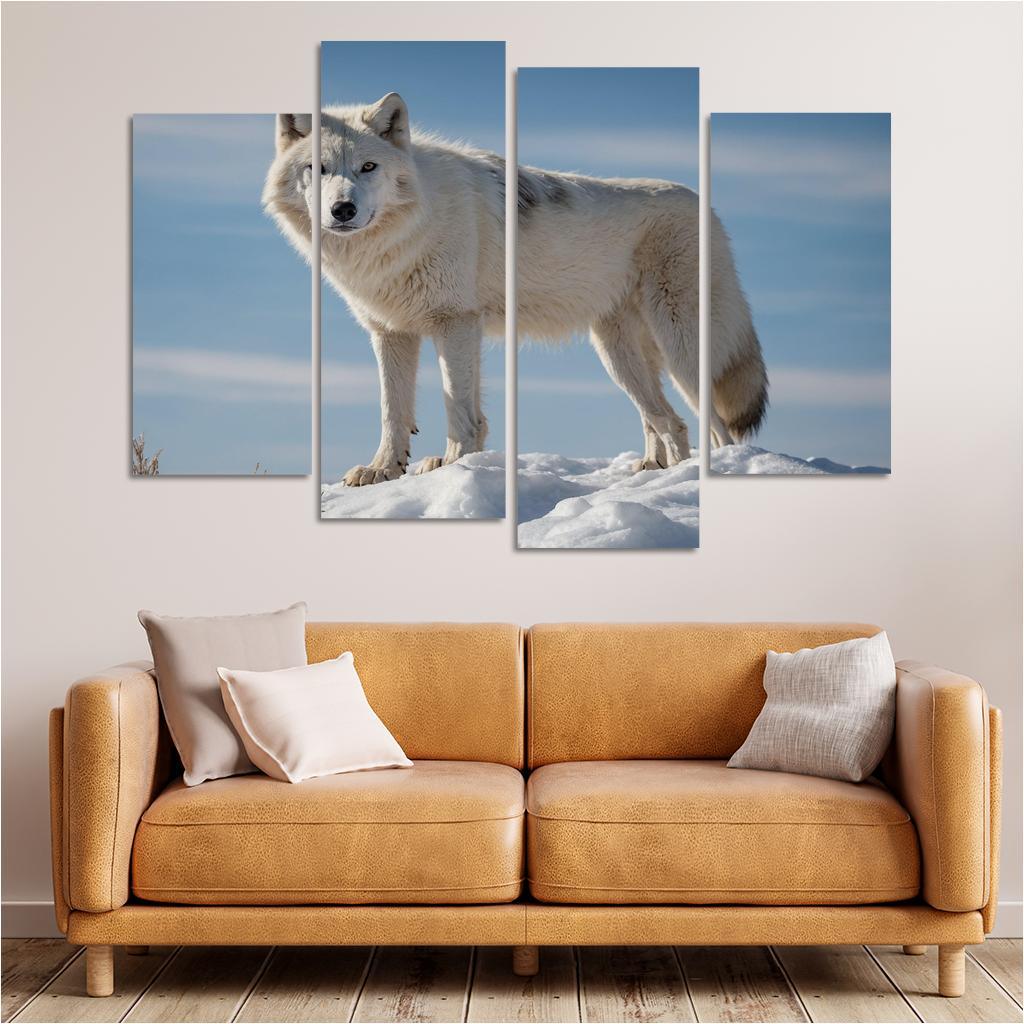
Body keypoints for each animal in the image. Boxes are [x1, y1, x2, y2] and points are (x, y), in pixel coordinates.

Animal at [263, 94, 766, 485]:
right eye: (317, 168)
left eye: (368, 167)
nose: (342, 209)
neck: (405, 231)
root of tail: (709, 208)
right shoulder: (392, 332)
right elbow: (394, 412)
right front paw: (383, 471)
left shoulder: (455, 322)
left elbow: (459, 409)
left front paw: (455, 464)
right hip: (616, 354)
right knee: (667, 421)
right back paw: (657, 471)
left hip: (679, 346)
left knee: (712, 426)